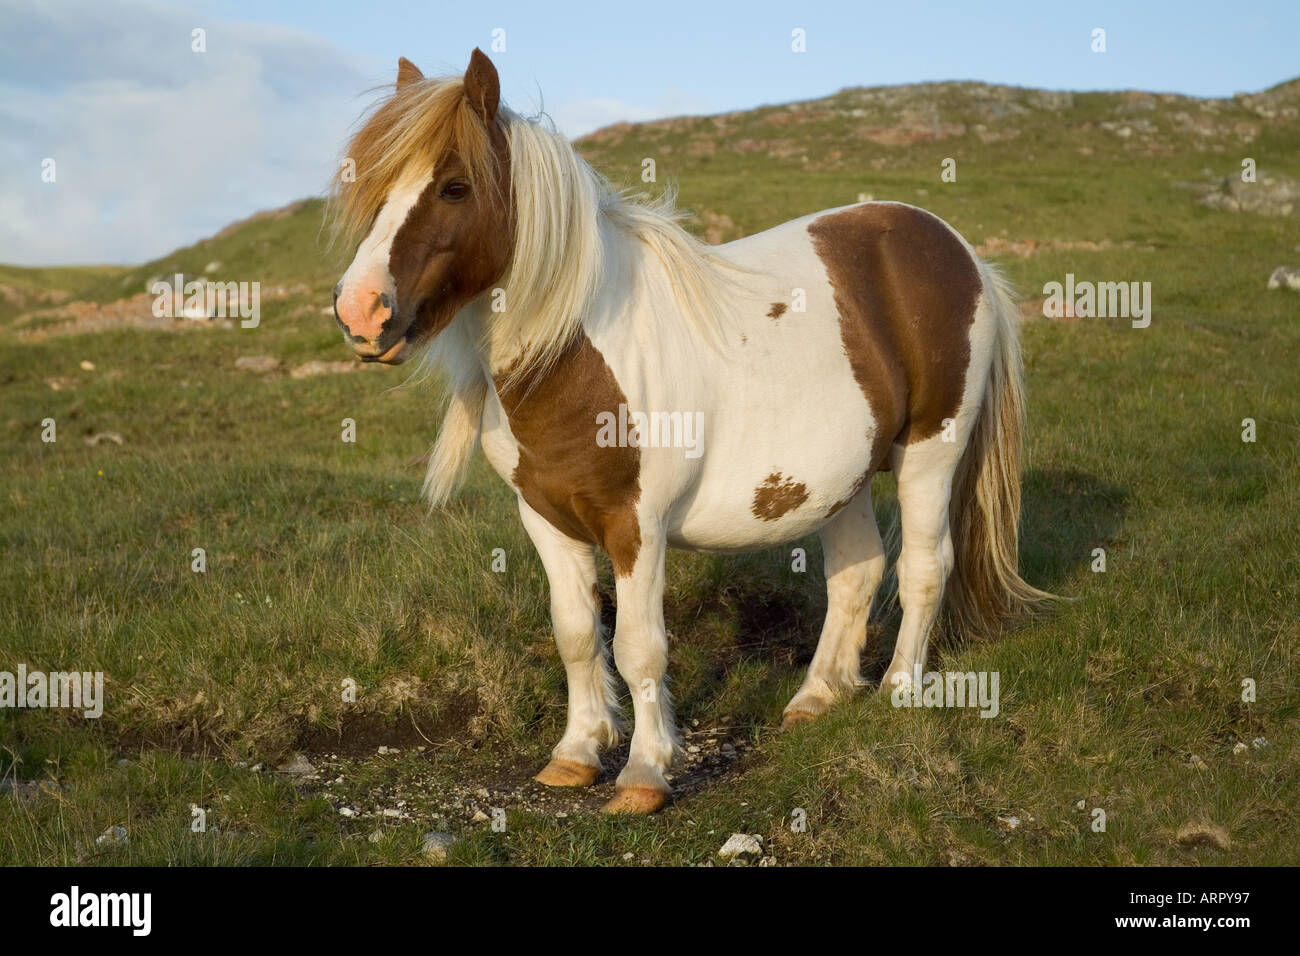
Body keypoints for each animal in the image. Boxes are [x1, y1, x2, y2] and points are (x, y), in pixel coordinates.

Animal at [330, 50, 1050, 816]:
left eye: (455, 187)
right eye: (373, 187)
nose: (360, 312)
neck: (574, 352)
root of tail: (958, 249)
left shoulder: (635, 525)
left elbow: (638, 647)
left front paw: (644, 773)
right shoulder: (545, 518)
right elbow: (577, 635)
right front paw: (576, 753)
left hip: (929, 454)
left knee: (922, 567)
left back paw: (899, 690)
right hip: (844, 476)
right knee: (857, 572)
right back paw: (816, 697)